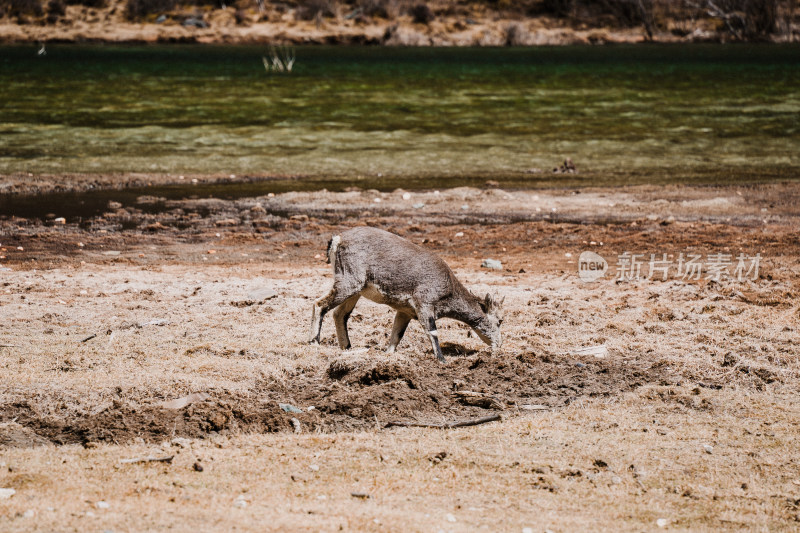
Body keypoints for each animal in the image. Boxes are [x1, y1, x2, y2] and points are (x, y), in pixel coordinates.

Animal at [310, 227, 504, 360]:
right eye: (500, 321)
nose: (499, 345)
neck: (448, 288)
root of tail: (337, 239)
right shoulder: (424, 304)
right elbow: (432, 332)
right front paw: (441, 360)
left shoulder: (405, 312)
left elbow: (397, 335)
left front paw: (388, 355)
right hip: (348, 283)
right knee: (319, 304)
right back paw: (314, 341)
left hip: (355, 291)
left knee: (340, 314)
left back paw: (347, 347)